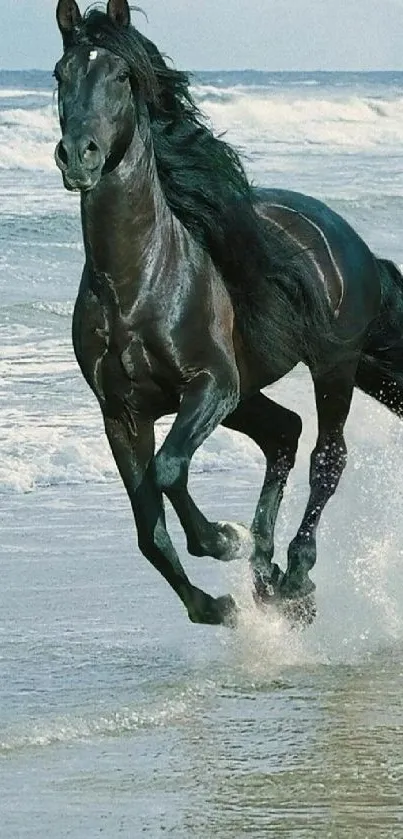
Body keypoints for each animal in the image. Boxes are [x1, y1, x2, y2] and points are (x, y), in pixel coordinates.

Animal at [53, 0, 403, 624]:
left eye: (120, 76)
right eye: (59, 74)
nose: (77, 156)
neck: (138, 286)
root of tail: (348, 239)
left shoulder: (211, 384)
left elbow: (169, 468)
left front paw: (224, 539)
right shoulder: (121, 413)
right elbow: (148, 531)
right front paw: (216, 605)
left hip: (331, 367)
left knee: (327, 457)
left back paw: (295, 576)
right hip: (250, 393)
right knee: (284, 434)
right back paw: (268, 576)